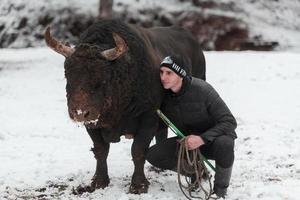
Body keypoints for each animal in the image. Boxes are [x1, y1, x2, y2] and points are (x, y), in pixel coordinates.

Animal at [44, 18, 206, 194]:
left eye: (102, 78)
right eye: (67, 74)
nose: (80, 112)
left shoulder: (148, 118)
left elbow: (138, 150)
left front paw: (138, 185)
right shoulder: (93, 123)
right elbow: (101, 150)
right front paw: (99, 181)